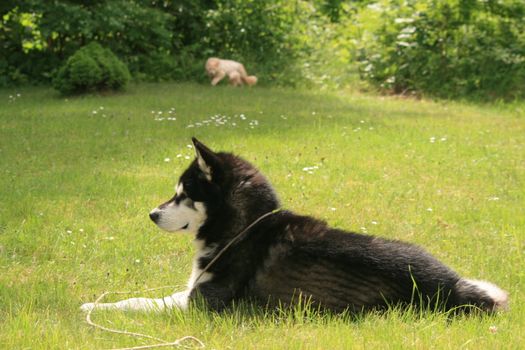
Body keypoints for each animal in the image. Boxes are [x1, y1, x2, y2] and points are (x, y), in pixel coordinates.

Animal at [82, 138, 508, 314]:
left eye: (183, 195)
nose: (151, 214)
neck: (244, 229)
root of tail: (452, 283)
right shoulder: (190, 292)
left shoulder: (201, 303)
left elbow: (140, 302)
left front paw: (94, 307)